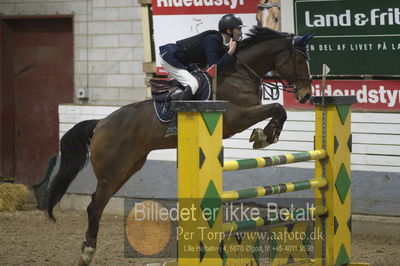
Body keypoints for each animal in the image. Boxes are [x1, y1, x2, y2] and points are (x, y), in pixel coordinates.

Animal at [47, 26, 314, 264]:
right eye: (301, 60)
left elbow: (278, 110)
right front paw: (265, 135)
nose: (306, 95)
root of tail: (100, 123)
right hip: (112, 171)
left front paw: (267, 135)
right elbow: (277, 107)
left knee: (98, 202)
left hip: (129, 167)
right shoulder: (237, 117)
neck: (240, 74)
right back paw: (87, 253)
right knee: (94, 206)